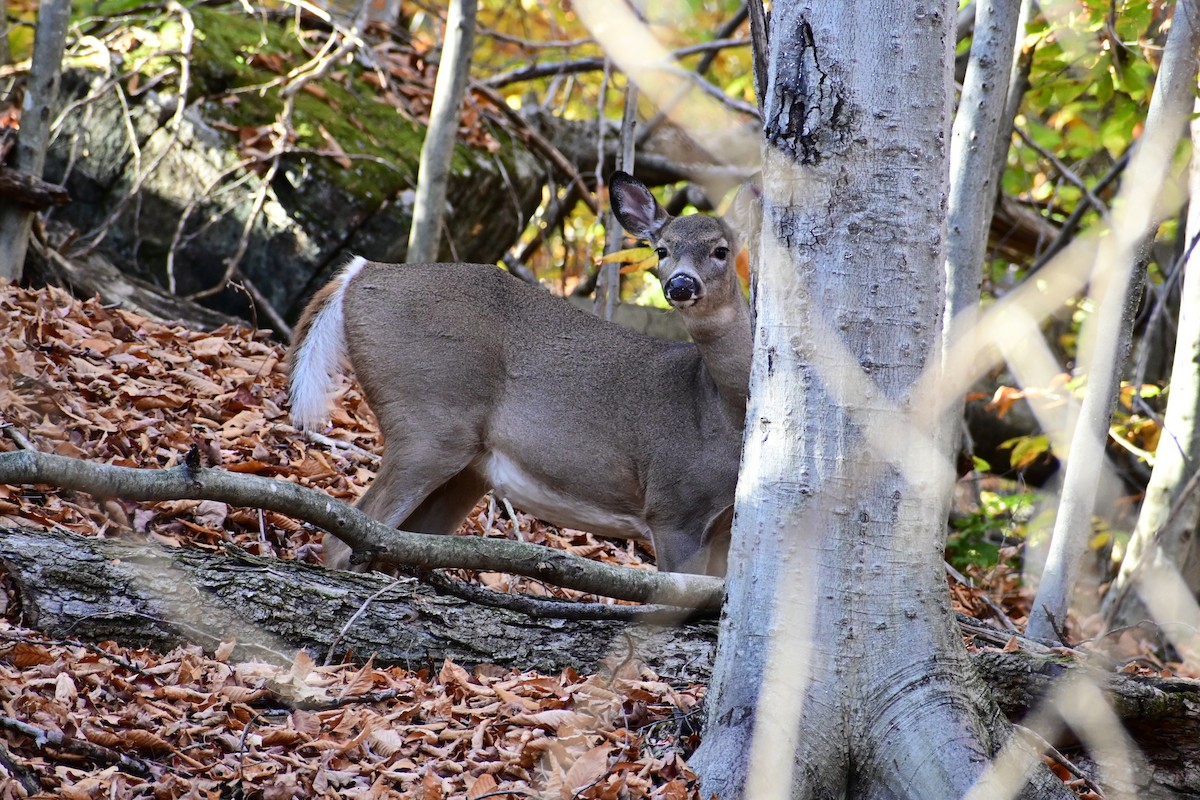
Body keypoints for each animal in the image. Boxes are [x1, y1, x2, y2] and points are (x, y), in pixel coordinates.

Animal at [287, 172, 751, 576]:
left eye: (721, 250)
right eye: (662, 250)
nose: (681, 285)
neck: (719, 410)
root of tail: (362, 271)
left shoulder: (724, 528)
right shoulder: (673, 505)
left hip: (467, 468)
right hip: (427, 417)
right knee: (345, 538)